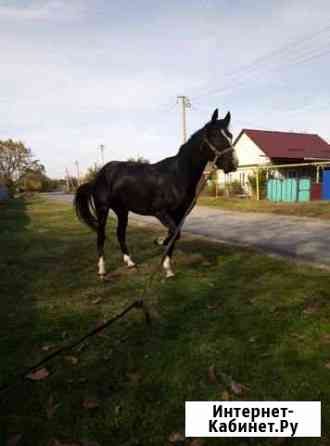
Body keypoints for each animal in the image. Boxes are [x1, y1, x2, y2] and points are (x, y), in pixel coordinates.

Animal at [75, 109, 237, 278]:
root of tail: (98, 176)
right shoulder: (160, 212)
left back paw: (130, 263)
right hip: (103, 209)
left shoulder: (180, 214)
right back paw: (102, 270)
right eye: (215, 136)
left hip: (122, 211)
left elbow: (175, 235)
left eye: (230, 135)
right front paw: (159, 242)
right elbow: (173, 234)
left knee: (120, 234)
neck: (177, 175)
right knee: (101, 235)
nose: (233, 164)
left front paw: (168, 269)